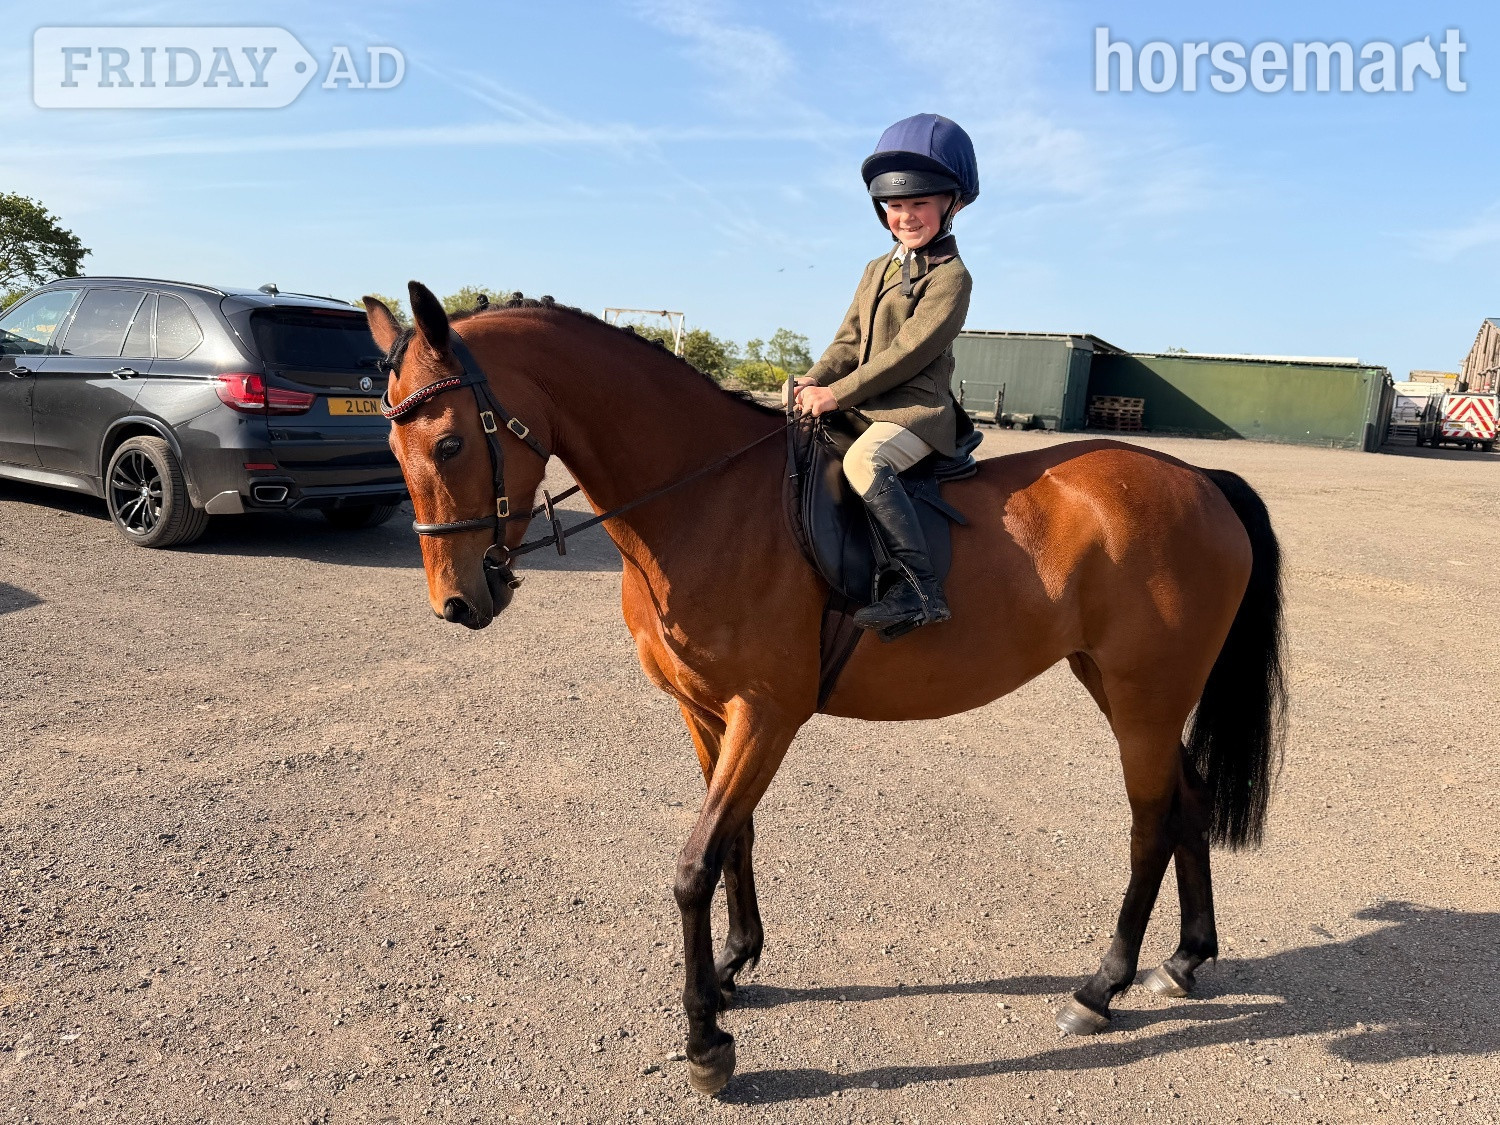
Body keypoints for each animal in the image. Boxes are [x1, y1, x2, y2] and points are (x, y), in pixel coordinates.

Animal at [364, 282, 1286, 1096]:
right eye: (391, 448)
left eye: (450, 444)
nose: (458, 602)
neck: (705, 498)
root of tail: (1201, 479)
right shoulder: (706, 711)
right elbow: (734, 837)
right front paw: (735, 963)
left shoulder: (768, 715)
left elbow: (694, 863)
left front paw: (706, 1041)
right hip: (1124, 688)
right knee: (1188, 800)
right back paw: (1184, 959)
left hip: (1143, 696)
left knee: (1150, 823)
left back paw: (1101, 985)